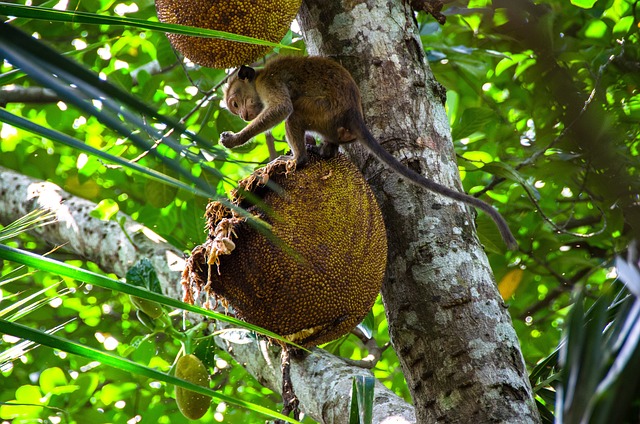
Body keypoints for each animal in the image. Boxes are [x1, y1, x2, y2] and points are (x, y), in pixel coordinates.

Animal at [220, 54, 516, 250]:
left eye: (235, 103)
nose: (244, 115)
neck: (258, 78)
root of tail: (354, 113)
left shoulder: (270, 83)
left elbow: (282, 109)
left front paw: (236, 139)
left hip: (323, 111)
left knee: (294, 114)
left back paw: (299, 158)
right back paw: (324, 150)